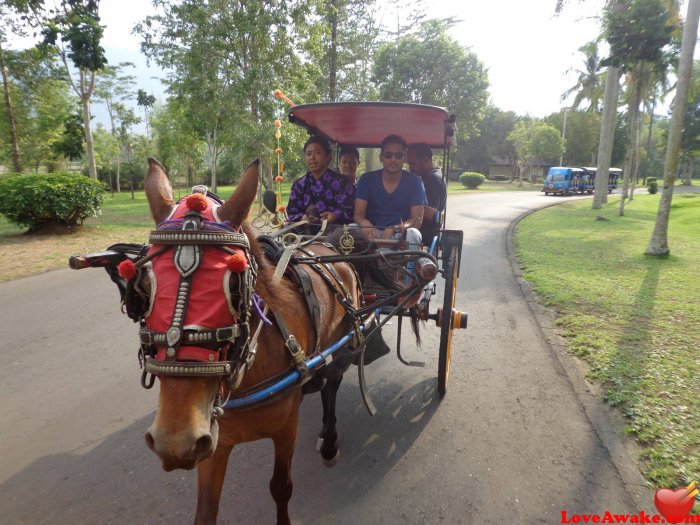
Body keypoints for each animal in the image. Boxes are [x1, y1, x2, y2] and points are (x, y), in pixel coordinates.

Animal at [140, 159, 364, 524]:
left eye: (234, 286)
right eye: (144, 285)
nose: (174, 440)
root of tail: (328, 246)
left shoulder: (286, 429)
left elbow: (281, 487)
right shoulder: (213, 443)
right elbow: (205, 511)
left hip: (341, 342)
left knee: (331, 383)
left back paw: (329, 439)